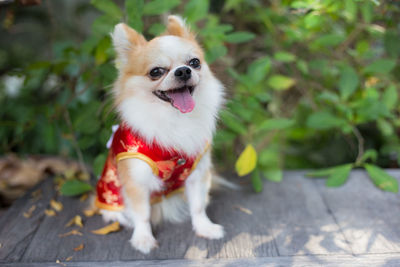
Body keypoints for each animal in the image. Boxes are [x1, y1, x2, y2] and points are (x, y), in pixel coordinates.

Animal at [94, 15, 225, 254]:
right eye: (156, 71)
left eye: (194, 62)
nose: (183, 71)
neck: (174, 119)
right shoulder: (136, 181)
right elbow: (142, 214)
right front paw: (143, 239)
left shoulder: (197, 174)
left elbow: (198, 206)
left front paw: (205, 228)